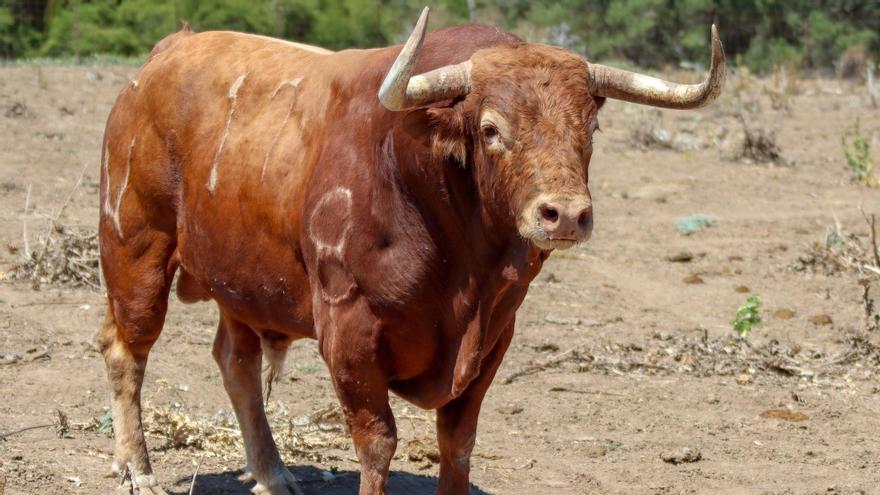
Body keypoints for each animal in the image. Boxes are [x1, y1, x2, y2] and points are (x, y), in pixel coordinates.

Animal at [99, 8, 724, 495]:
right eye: (491, 128)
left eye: (589, 128)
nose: (565, 214)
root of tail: (169, 51)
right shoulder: (347, 331)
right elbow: (377, 442)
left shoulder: (495, 334)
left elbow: (458, 441)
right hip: (135, 248)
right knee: (126, 350)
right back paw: (139, 469)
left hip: (240, 279)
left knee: (236, 361)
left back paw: (272, 473)